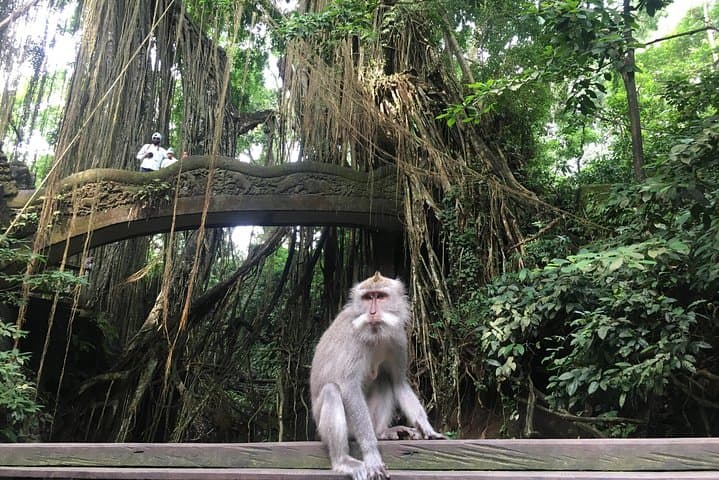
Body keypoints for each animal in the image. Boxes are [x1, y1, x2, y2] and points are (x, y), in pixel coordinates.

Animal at [310, 272, 445, 480]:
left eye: (380, 296)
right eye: (367, 298)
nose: (372, 313)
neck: (375, 334)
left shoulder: (398, 338)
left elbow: (398, 382)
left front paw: (426, 427)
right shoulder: (352, 340)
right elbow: (349, 389)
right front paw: (371, 455)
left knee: (383, 378)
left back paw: (381, 432)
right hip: (333, 428)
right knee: (332, 390)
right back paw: (343, 461)